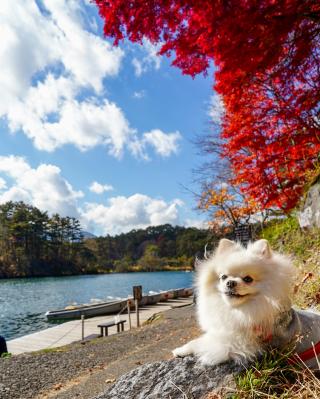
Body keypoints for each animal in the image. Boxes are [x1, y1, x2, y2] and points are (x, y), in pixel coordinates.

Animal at [174, 239, 320, 370]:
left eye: (248, 279)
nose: (230, 282)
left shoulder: (236, 343)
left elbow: (200, 342)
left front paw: (180, 350)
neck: (240, 309)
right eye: (223, 277)